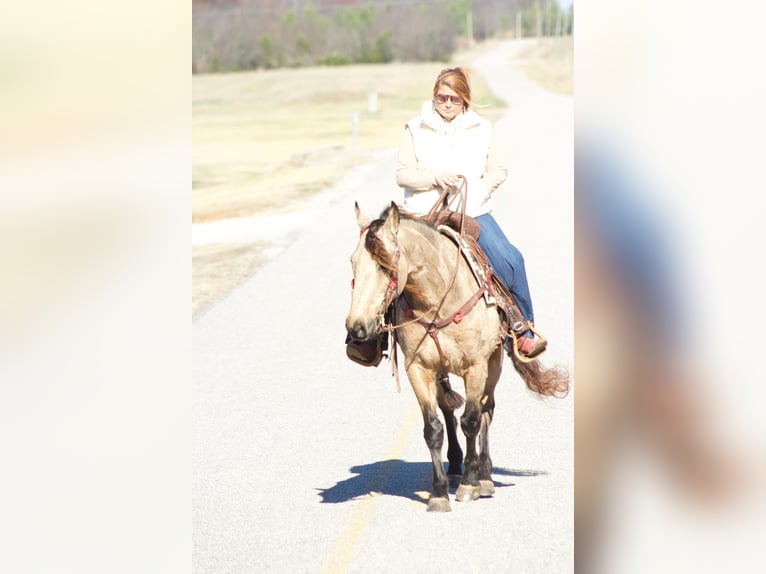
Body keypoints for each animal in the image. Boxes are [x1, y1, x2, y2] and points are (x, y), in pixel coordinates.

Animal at [348, 201, 568, 512]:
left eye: (383, 264)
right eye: (353, 262)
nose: (356, 327)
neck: (436, 300)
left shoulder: (475, 366)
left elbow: (472, 420)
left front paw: (470, 483)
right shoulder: (418, 369)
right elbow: (433, 427)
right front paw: (439, 493)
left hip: (494, 364)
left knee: (486, 411)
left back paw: (484, 476)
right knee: (448, 410)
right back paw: (453, 466)